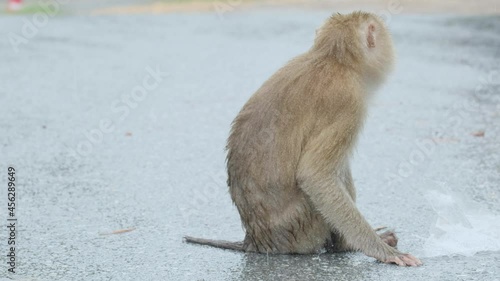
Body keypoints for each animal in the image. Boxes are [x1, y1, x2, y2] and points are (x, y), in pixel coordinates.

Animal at [185, 10, 422, 264]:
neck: (332, 59)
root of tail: (255, 240)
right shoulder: (350, 103)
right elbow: (314, 175)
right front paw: (384, 252)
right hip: (302, 228)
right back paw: (347, 245)